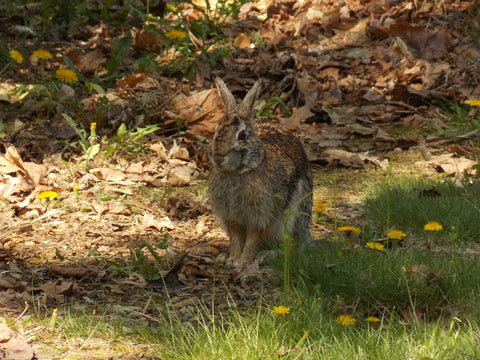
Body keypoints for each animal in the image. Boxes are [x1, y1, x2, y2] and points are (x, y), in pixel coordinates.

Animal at [208, 77, 314, 268]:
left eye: (242, 135)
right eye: (216, 130)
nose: (218, 156)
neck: (240, 171)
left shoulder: (262, 215)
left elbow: (253, 239)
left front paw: (243, 262)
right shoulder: (231, 218)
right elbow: (236, 239)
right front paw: (232, 260)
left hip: (295, 215)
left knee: (293, 246)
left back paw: (268, 255)